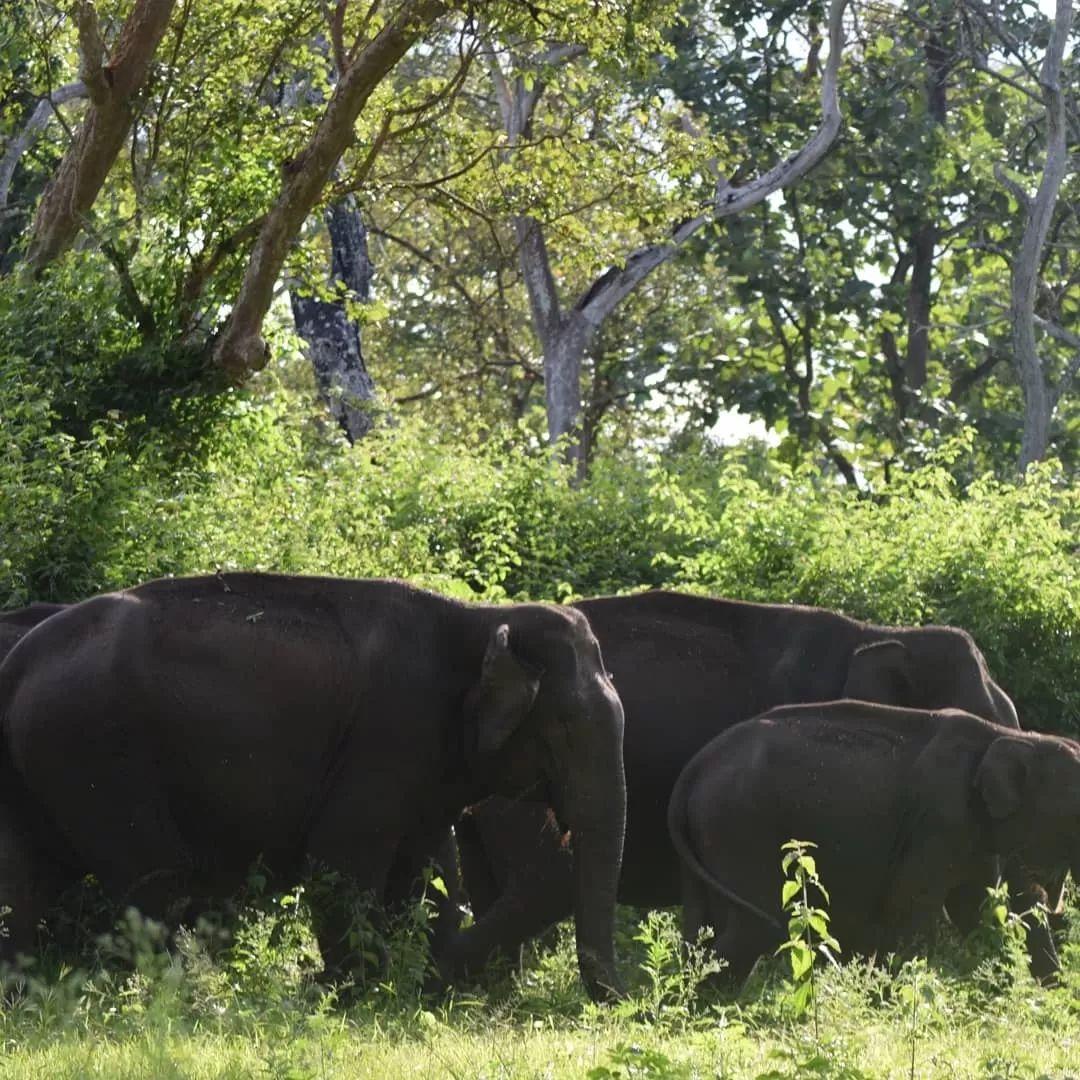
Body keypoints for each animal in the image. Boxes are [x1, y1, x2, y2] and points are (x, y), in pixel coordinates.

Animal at [0, 574, 626, 1002]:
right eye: (564, 727)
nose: (620, 1008)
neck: (482, 620)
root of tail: (17, 663)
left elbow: (416, 870)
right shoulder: (389, 734)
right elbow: (341, 859)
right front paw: (354, 999)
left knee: (22, 881)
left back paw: (23, 1002)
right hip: (95, 752)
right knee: (154, 881)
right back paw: (182, 1002)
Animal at [665, 699, 1080, 980]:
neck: (1013, 737)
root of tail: (694, 767)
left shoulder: (970, 830)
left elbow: (978, 909)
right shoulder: (939, 821)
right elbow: (912, 908)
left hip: (708, 831)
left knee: (702, 927)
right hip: (738, 825)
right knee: (751, 927)